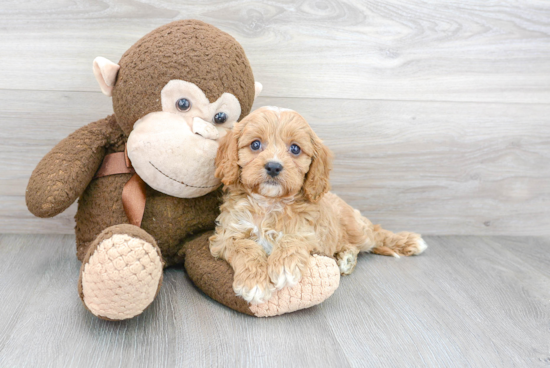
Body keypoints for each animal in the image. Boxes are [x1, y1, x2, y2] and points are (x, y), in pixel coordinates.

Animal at [209, 105, 430, 302]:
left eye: (295, 149)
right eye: (255, 144)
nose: (273, 166)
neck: (269, 203)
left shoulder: (312, 231)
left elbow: (292, 238)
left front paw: (284, 266)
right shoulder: (227, 235)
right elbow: (246, 247)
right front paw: (254, 282)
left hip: (357, 229)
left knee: (376, 234)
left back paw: (409, 241)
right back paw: (347, 258)